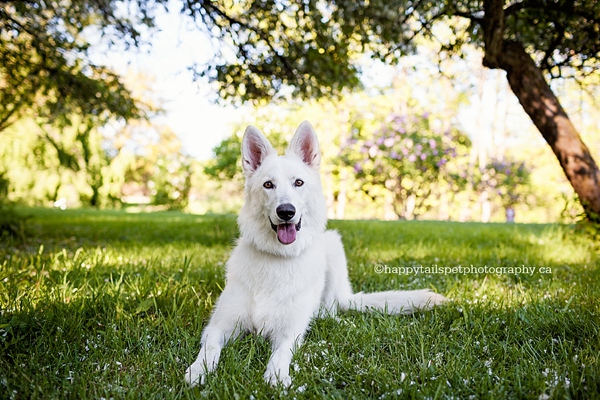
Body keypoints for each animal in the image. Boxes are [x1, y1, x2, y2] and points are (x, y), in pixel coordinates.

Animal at [185, 120, 448, 386]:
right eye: (268, 184)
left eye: (298, 183)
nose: (286, 211)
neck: (278, 258)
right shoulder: (218, 326)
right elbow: (209, 348)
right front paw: (198, 370)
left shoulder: (289, 332)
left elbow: (281, 353)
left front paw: (276, 375)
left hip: (334, 246)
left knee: (332, 308)